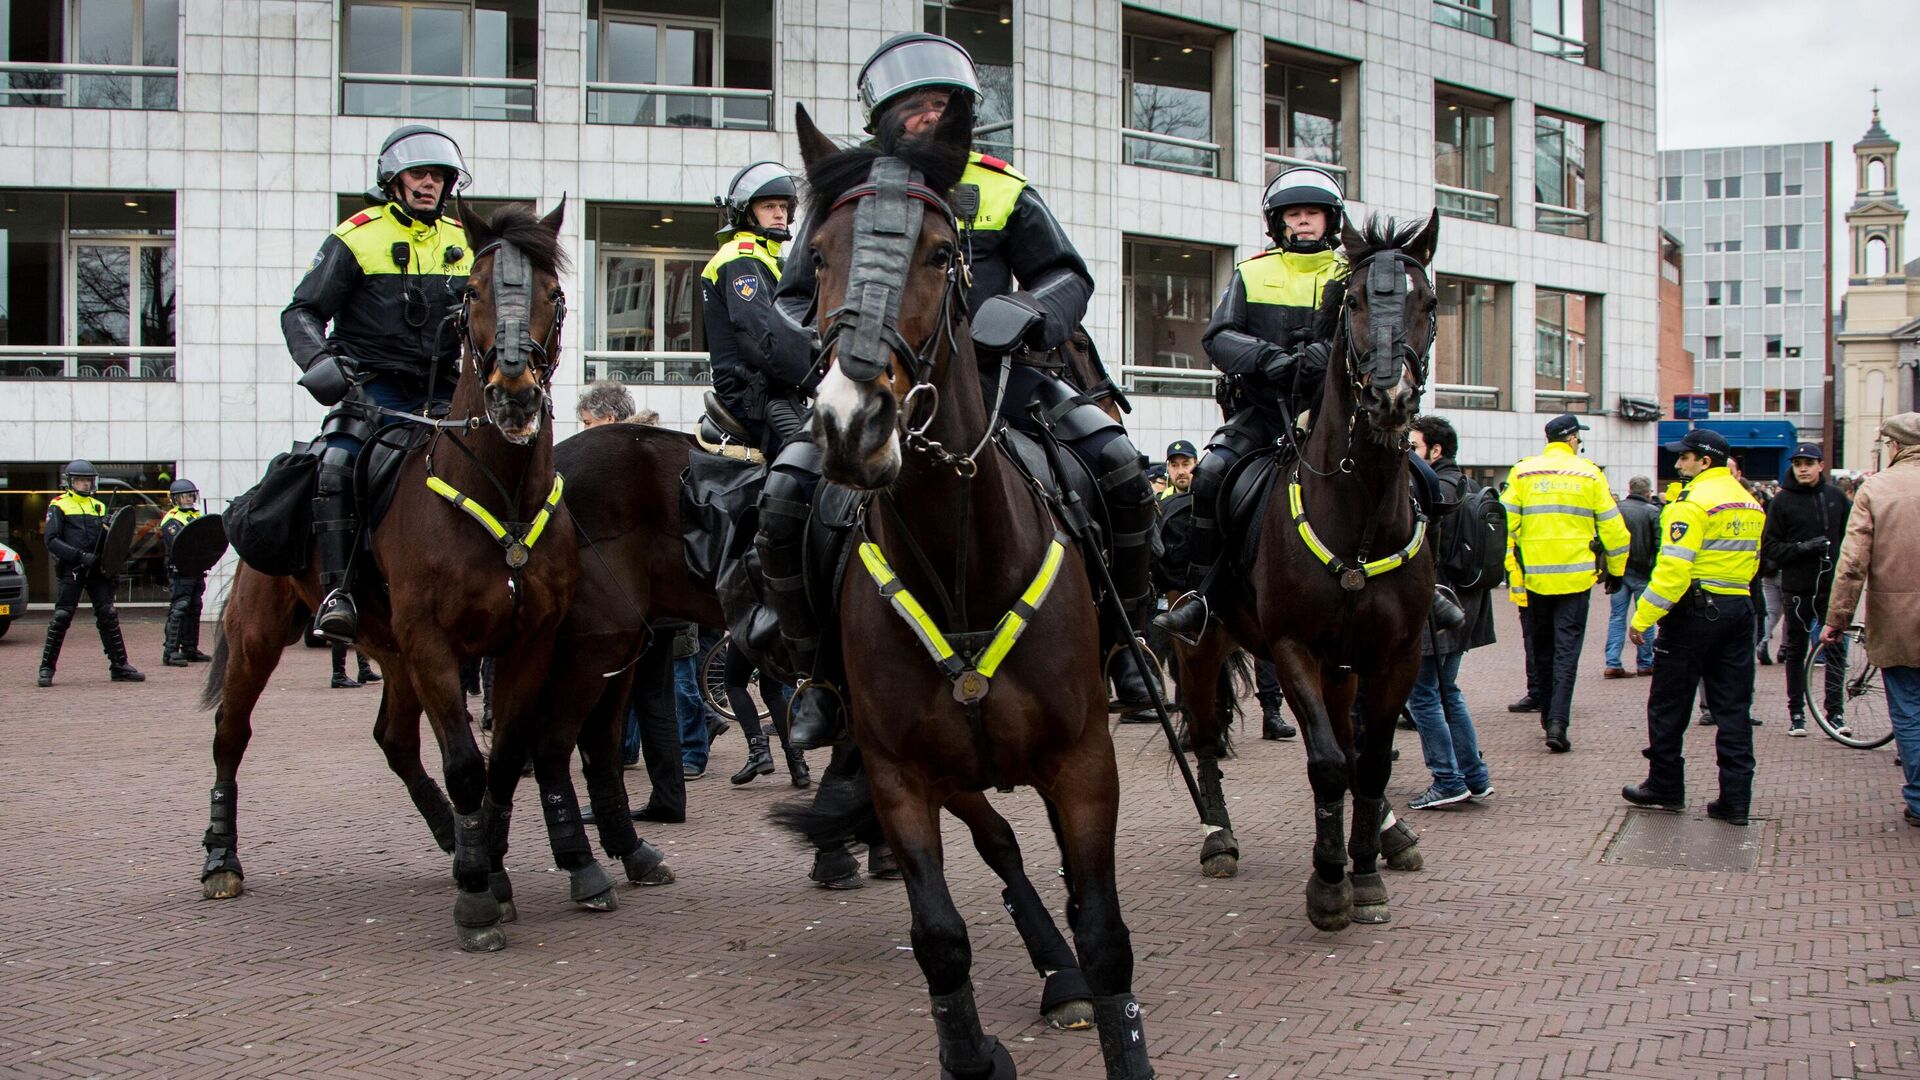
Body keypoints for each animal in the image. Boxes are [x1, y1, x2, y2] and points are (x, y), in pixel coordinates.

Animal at [200, 201, 583, 949]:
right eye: (472, 292)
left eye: (551, 293)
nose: (514, 394)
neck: (499, 493)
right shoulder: (434, 642)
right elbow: (465, 764)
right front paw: (476, 898)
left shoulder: (527, 642)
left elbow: (501, 761)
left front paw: (489, 868)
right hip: (260, 635)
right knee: (231, 735)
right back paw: (220, 859)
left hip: (393, 653)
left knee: (396, 742)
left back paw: (452, 839)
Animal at [794, 100, 1152, 1076]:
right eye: (818, 256)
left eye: (937, 255)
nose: (852, 425)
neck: (960, 573)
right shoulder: (901, 774)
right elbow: (941, 938)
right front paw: (975, 1050)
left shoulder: (1085, 761)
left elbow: (1108, 931)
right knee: (1000, 846)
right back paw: (1056, 973)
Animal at [1167, 210, 1443, 926]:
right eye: (1355, 302)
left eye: (1428, 302)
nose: (1389, 397)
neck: (1358, 517)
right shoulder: (1295, 649)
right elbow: (1326, 763)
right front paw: (1328, 881)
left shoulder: (1395, 654)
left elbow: (1368, 761)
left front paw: (1365, 868)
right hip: (1201, 648)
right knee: (1204, 739)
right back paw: (1217, 836)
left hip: (1343, 669)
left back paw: (1390, 835)